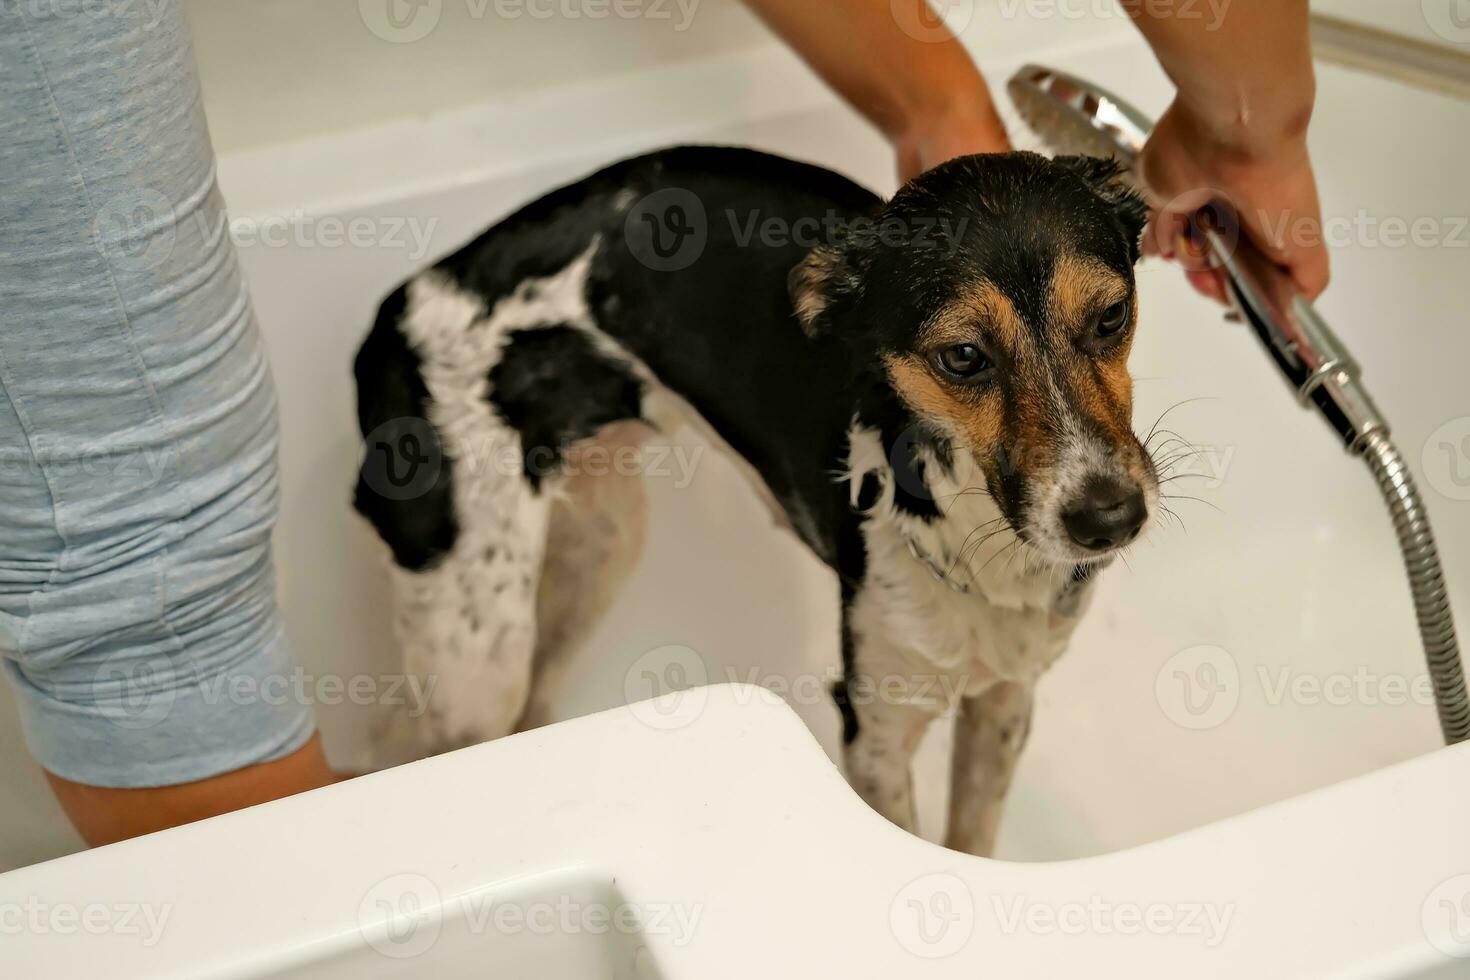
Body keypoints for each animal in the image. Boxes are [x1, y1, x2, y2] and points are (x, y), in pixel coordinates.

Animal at [352, 145, 1158, 858]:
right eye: (962, 357)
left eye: (1112, 316)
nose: (1110, 517)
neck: (981, 534)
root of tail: (398, 307)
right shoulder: (876, 729)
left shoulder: (1006, 702)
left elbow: (975, 841)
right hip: (475, 660)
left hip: (599, 551)